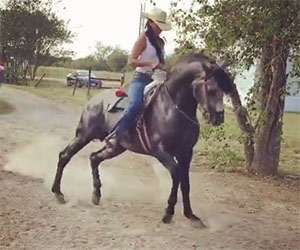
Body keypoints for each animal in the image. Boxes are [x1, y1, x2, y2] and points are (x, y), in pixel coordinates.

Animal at [51, 50, 234, 227]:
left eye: (225, 91)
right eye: (211, 89)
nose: (218, 118)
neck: (172, 109)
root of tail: (95, 100)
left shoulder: (186, 153)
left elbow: (185, 183)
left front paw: (191, 216)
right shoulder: (161, 152)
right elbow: (176, 175)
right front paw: (168, 213)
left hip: (116, 147)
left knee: (94, 158)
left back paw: (96, 195)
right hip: (84, 136)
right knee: (65, 156)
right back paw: (58, 193)